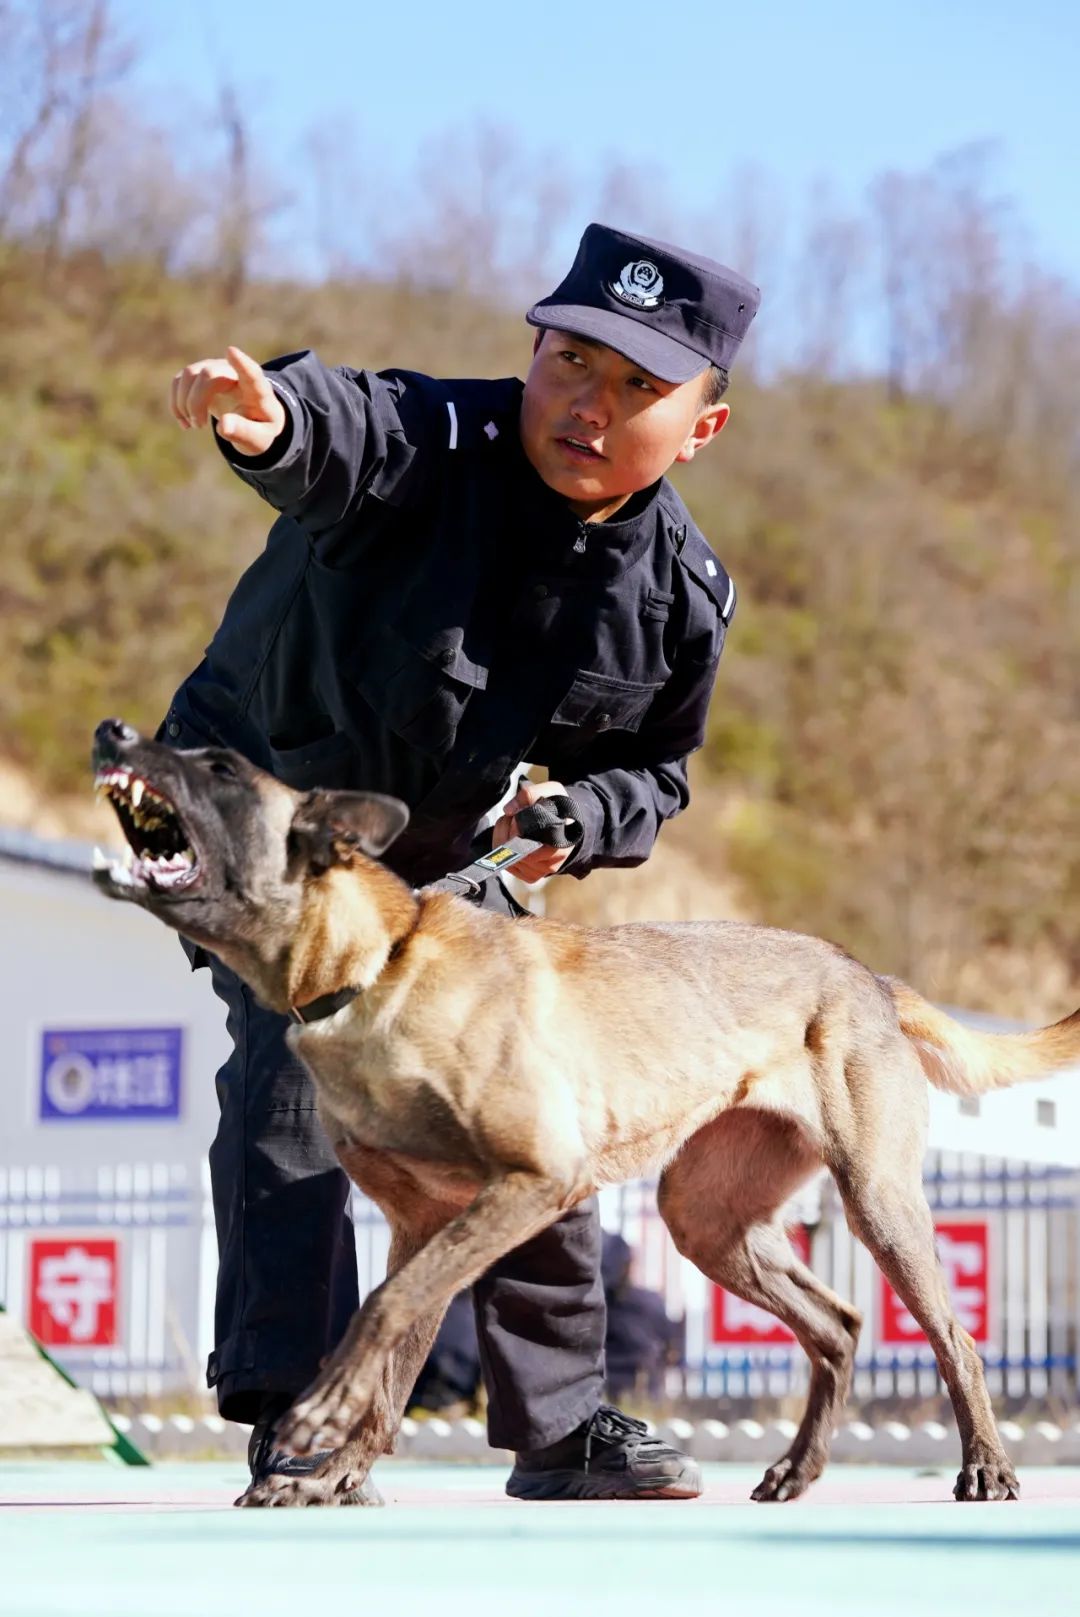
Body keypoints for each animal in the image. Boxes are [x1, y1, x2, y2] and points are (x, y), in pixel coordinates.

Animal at [90, 717, 1080, 1508]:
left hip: (877, 1200)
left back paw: (985, 1467)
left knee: (955, 1337)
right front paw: (336, 1472)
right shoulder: (424, 1221)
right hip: (706, 1218)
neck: (378, 964)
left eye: (220, 766)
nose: (113, 731)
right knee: (836, 1326)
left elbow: (383, 1309)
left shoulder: (529, 1185)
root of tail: (867, 973)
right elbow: (396, 1347)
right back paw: (796, 1470)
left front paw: (321, 1419)